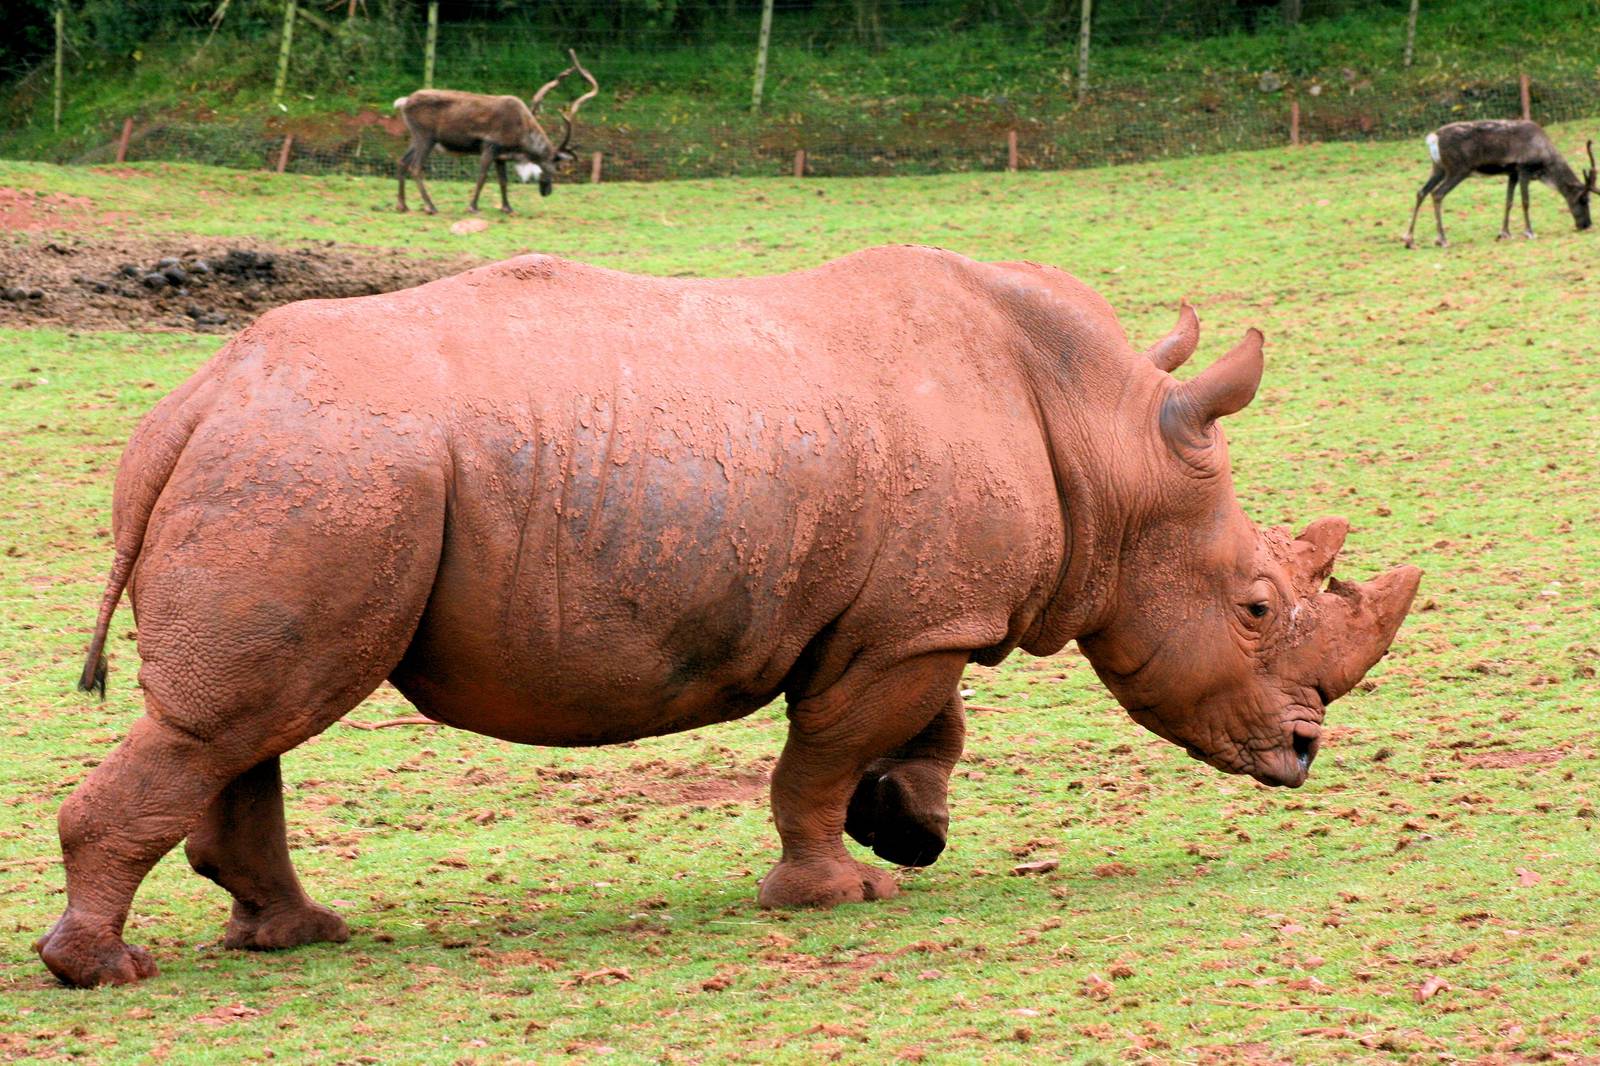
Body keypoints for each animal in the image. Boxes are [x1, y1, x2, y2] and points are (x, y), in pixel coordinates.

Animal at [37, 246, 1419, 988]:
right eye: (1255, 606)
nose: (1304, 756)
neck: (1110, 442)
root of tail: (194, 400)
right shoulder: (917, 621)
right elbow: (818, 753)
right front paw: (833, 892)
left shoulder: (919, 611)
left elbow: (928, 727)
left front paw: (907, 828)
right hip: (326, 468)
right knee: (248, 714)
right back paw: (109, 970)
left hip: (300, 469)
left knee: (248, 721)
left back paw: (295, 935)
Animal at [394, 49, 599, 216]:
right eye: (557, 166)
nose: (546, 192)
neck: (521, 141)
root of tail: (403, 102)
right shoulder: (490, 145)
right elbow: (482, 177)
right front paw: (472, 207)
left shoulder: (501, 155)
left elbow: (503, 181)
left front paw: (507, 208)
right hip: (426, 137)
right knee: (415, 167)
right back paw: (430, 206)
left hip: (415, 137)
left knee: (402, 161)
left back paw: (403, 205)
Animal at [1403, 120, 1594, 248]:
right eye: (1584, 200)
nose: (1587, 225)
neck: (1545, 162)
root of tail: (1433, 138)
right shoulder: (1523, 168)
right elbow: (1525, 202)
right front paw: (1530, 232)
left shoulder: (1512, 173)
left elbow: (1508, 202)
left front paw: (1505, 233)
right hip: (1458, 169)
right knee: (1437, 193)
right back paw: (1442, 239)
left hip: (1438, 168)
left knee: (1421, 192)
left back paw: (1409, 240)